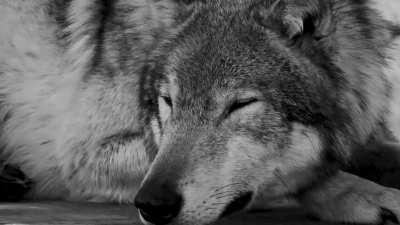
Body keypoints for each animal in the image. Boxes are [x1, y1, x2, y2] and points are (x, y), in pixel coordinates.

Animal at [1, 0, 400, 225]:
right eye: (168, 101)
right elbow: (300, 174)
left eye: (240, 105)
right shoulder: (84, 154)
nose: (153, 204)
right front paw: (363, 194)